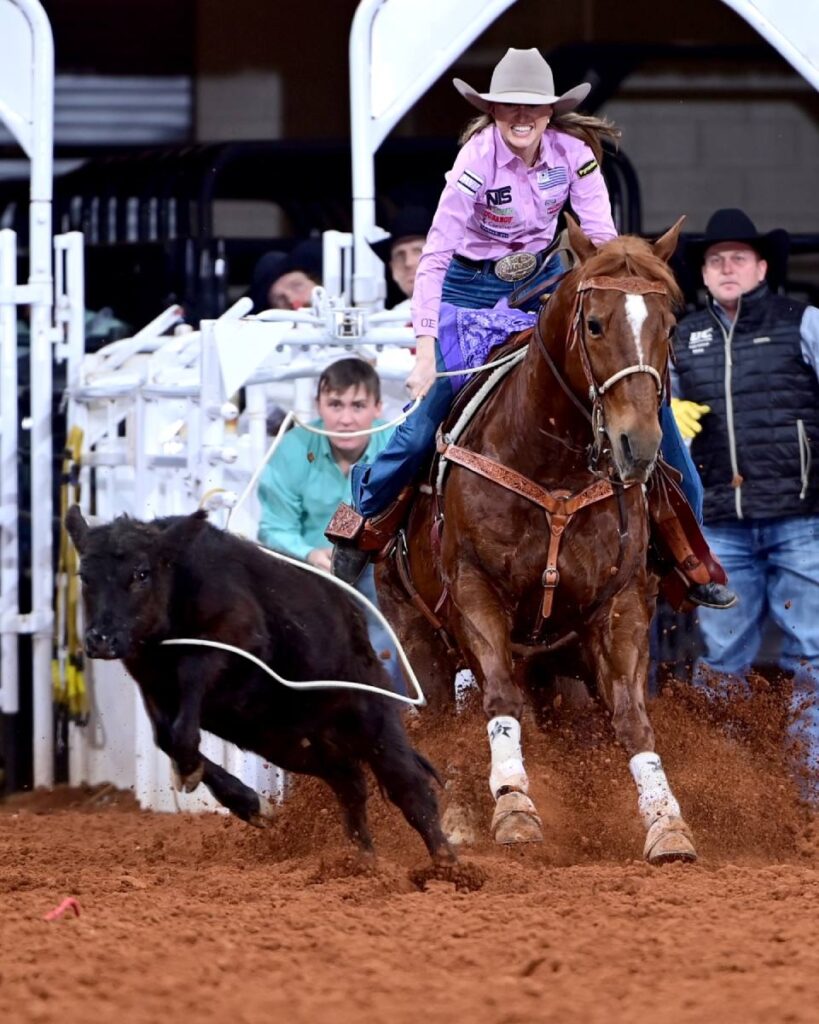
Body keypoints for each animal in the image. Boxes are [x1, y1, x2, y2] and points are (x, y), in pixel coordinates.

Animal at [376, 216, 696, 864]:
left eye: (670, 326)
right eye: (593, 323)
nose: (638, 446)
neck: (553, 467)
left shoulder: (620, 605)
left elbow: (632, 718)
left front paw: (665, 822)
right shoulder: (474, 593)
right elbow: (500, 699)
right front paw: (516, 808)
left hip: (557, 664)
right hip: (418, 636)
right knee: (443, 719)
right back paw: (454, 818)